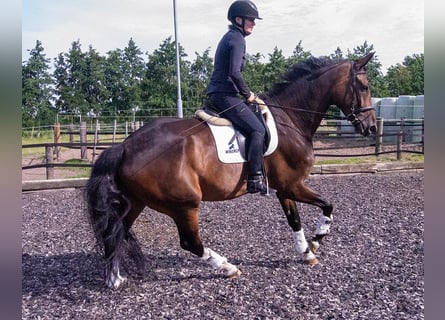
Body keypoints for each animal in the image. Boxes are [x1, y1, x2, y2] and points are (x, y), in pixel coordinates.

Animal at [86, 52, 374, 288]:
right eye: (364, 86)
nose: (370, 127)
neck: (291, 119)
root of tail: (125, 146)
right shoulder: (293, 184)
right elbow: (328, 205)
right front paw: (317, 239)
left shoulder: (285, 188)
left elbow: (295, 219)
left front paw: (306, 251)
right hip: (184, 204)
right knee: (190, 242)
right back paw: (227, 267)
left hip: (136, 202)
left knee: (116, 231)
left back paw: (114, 279)